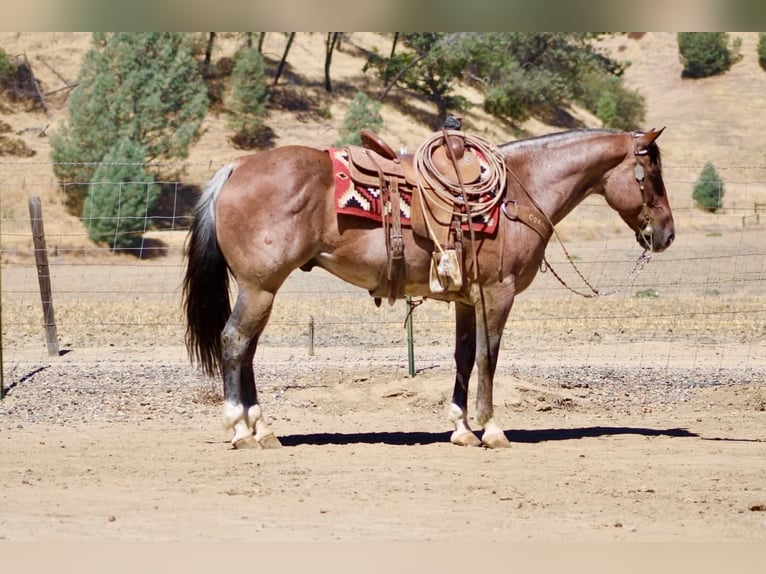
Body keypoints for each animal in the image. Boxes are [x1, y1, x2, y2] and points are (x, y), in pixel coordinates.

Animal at [183, 127, 674, 449]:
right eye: (651, 174)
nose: (667, 234)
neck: (520, 191)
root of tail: (237, 167)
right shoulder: (499, 293)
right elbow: (488, 357)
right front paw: (491, 428)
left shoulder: (468, 299)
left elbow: (463, 357)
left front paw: (461, 428)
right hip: (259, 286)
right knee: (234, 342)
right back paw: (240, 429)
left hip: (262, 289)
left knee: (247, 350)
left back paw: (263, 429)